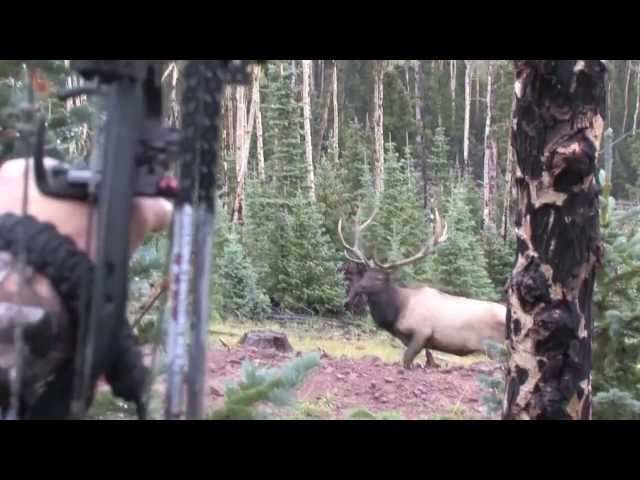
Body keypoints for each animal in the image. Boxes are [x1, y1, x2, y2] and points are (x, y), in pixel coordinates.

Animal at [338, 206, 508, 368]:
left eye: (380, 278)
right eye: (366, 274)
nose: (358, 287)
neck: (397, 312)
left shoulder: (422, 332)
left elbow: (406, 360)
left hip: (496, 347)